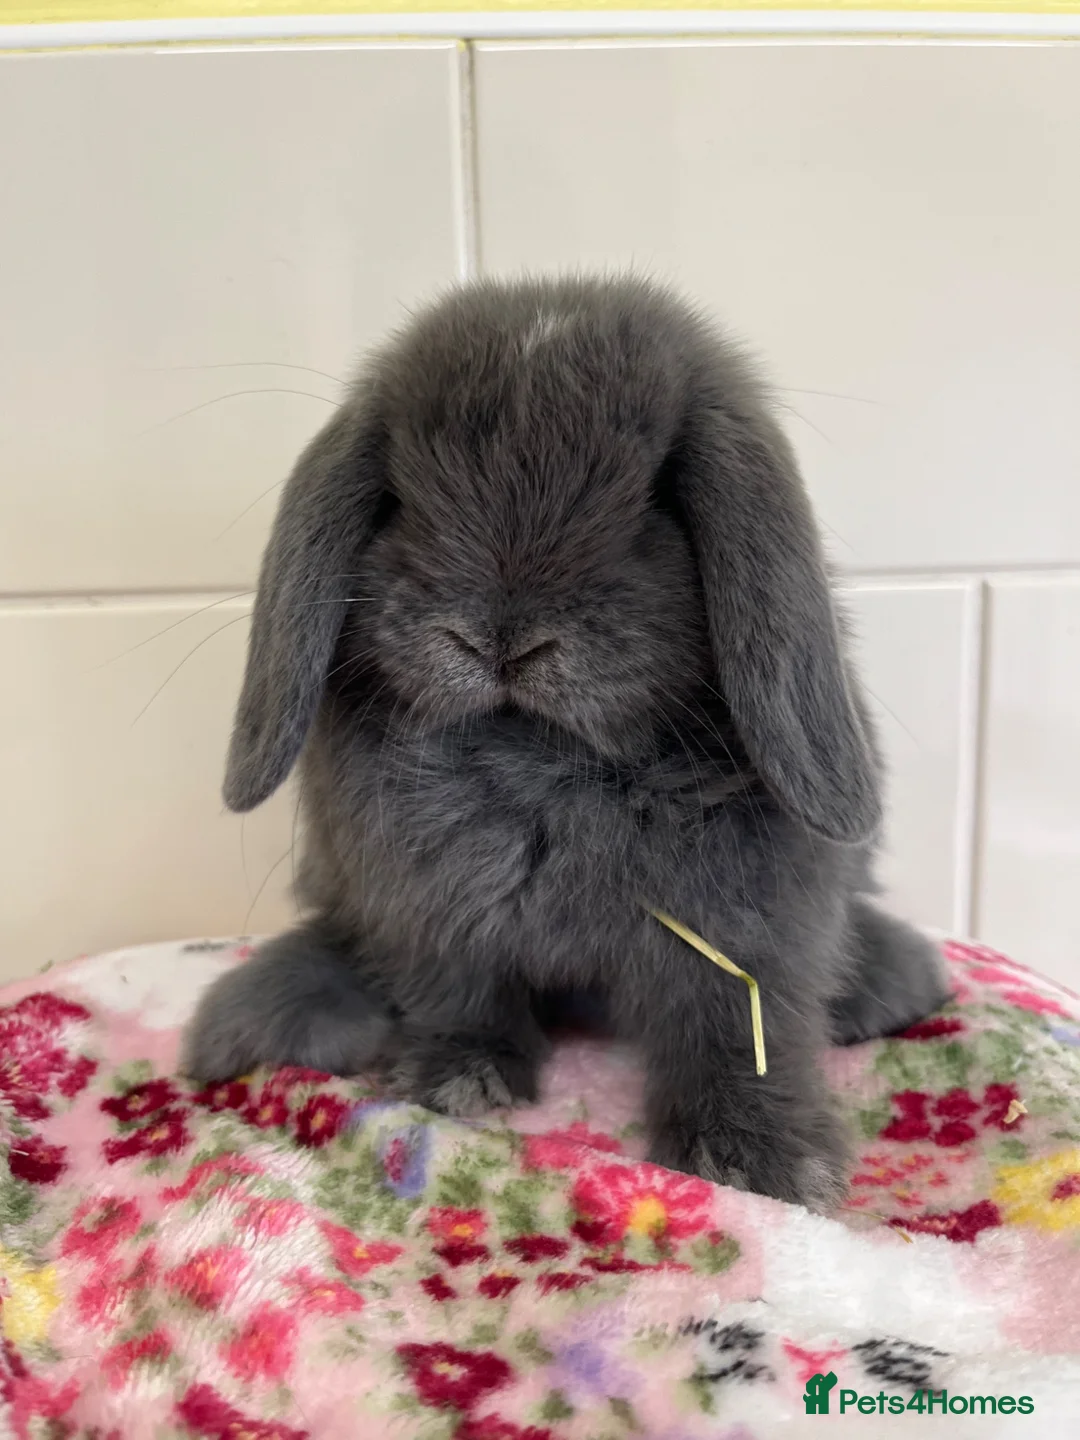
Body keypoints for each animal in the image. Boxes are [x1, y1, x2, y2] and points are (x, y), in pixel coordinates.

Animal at [182, 275, 950, 1210]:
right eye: (399, 497)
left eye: (658, 498)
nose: (498, 641)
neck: (542, 760)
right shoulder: (429, 912)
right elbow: (459, 995)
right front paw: (460, 1080)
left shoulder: (747, 929)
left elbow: (737, 1029)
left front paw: (760, 1163)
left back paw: (887, 987)